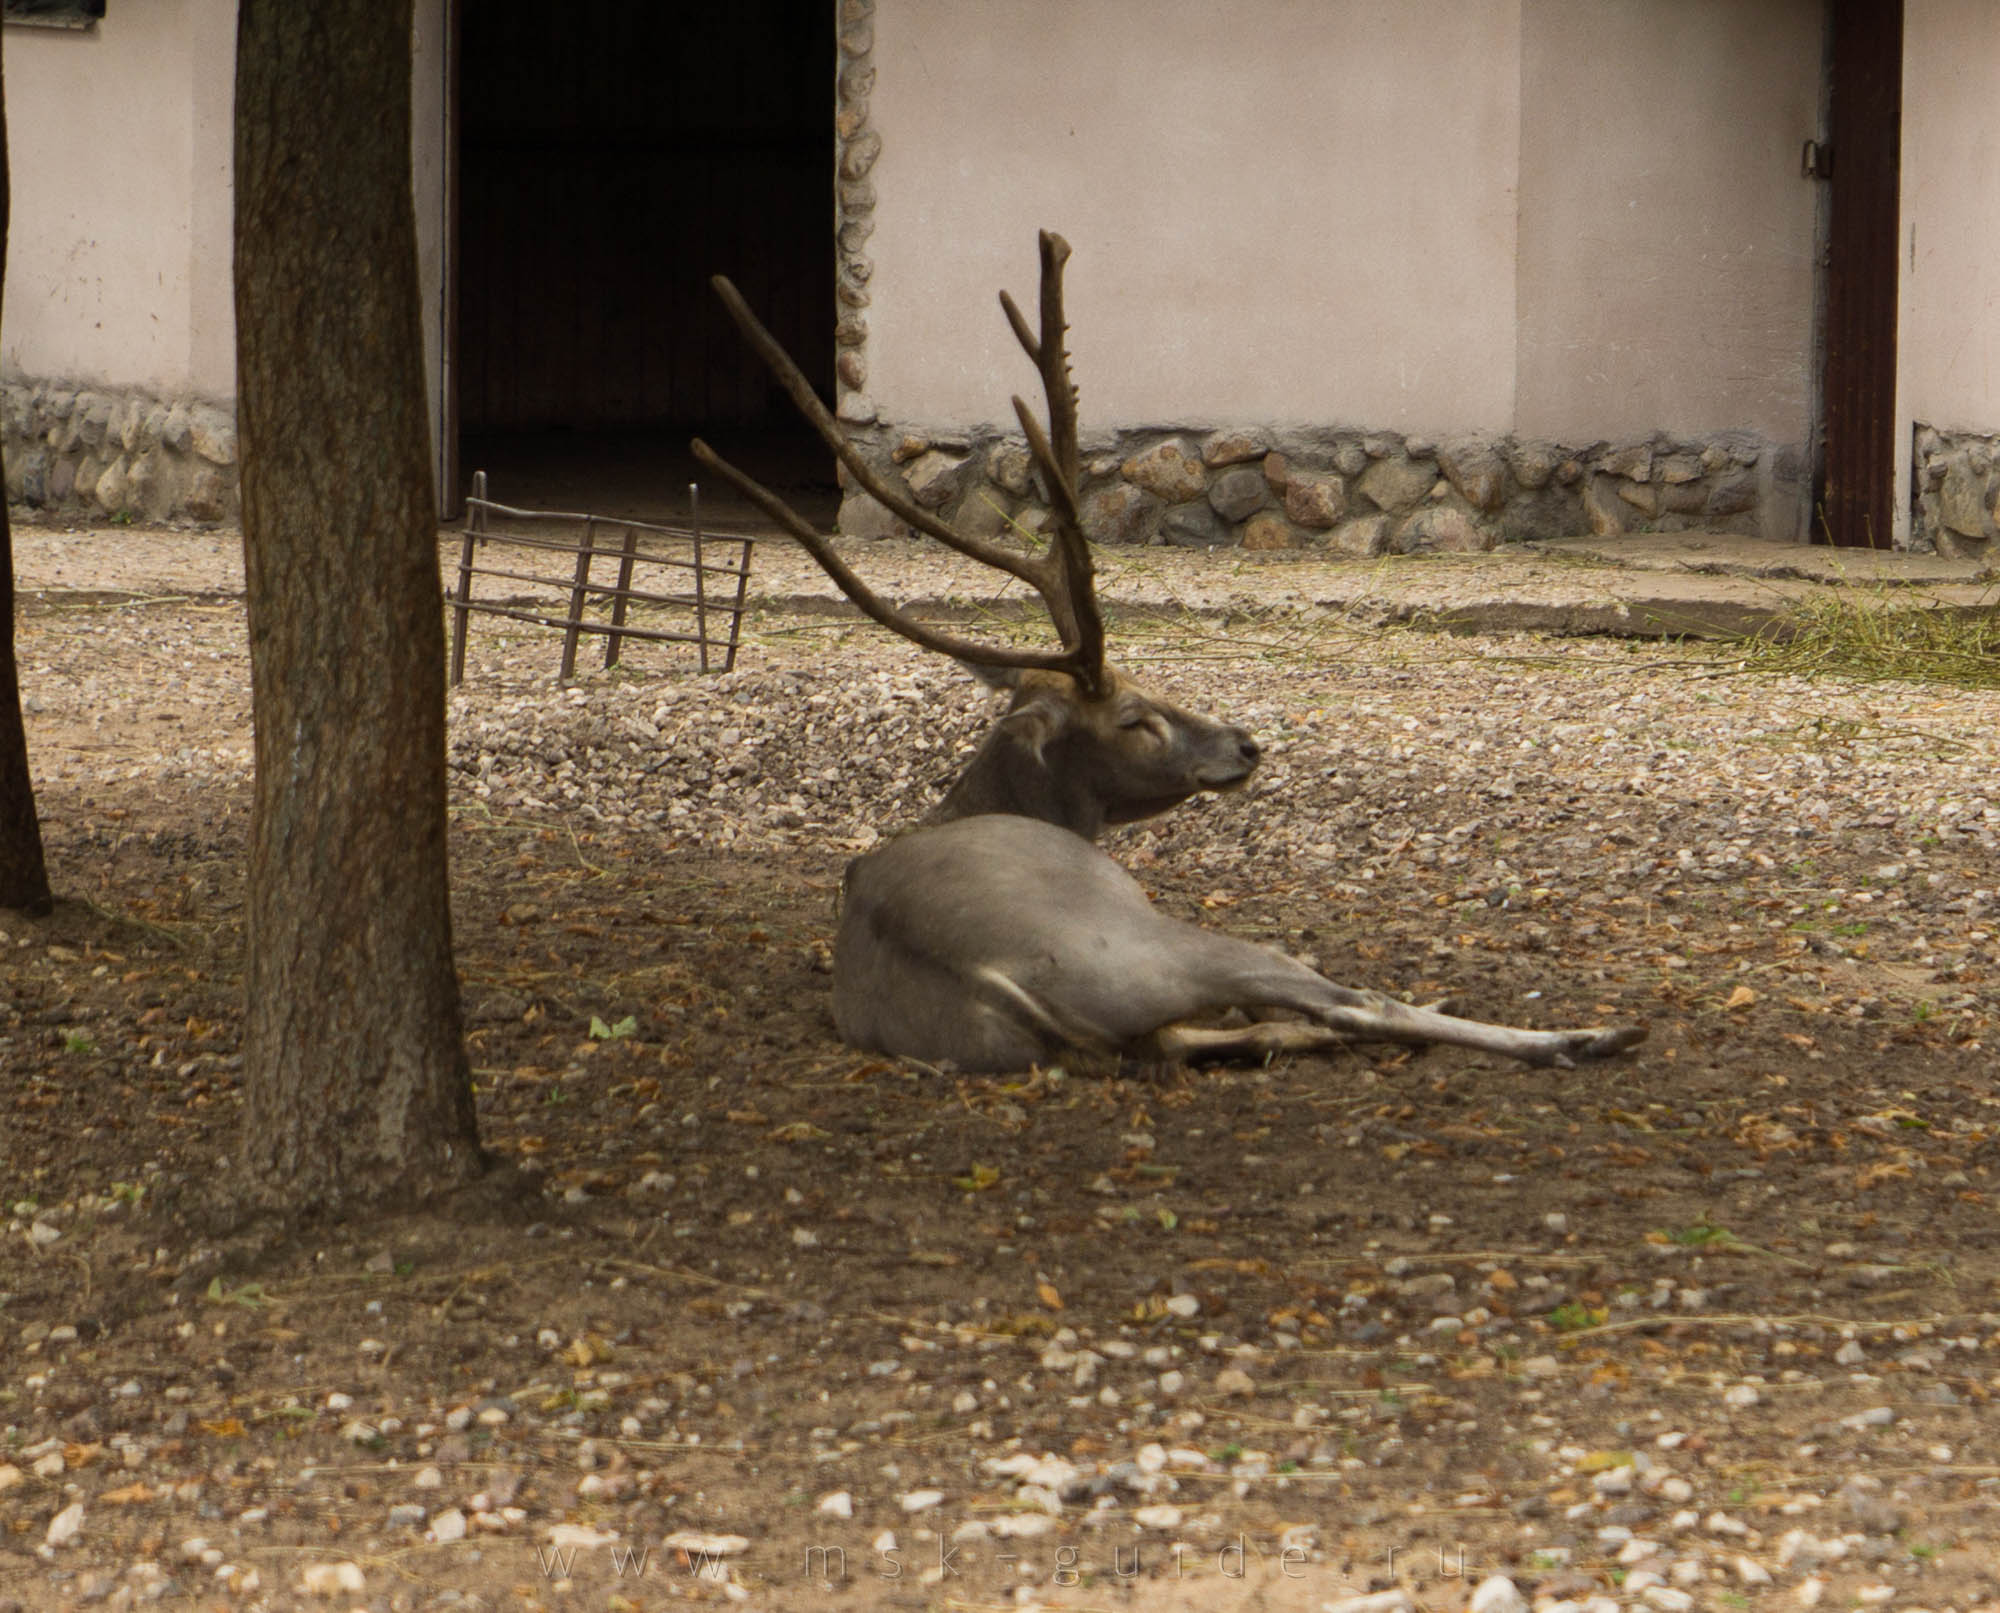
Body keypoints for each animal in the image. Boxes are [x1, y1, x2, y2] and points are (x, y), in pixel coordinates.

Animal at [691, 231, 1646, 1074]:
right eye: (1134, 717)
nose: (1247, 744)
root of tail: (997, 983)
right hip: (1162, 942)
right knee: (1346, 999)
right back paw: (1588, 1034)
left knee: (1241, 1033)